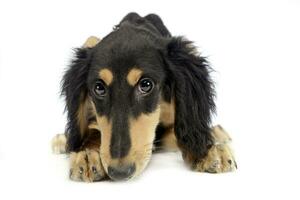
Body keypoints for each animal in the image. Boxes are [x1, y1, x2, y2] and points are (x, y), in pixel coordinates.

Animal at [51, 12, 236, 181]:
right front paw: (88, 153)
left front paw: (207, 150)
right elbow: (94, 130)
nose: (119, 173)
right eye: (98, 88)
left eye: (146, 85)